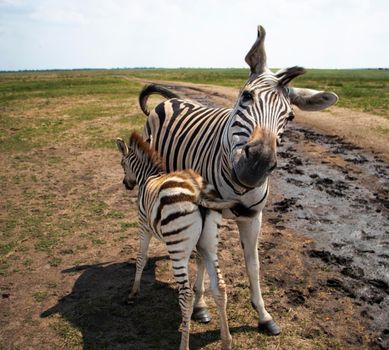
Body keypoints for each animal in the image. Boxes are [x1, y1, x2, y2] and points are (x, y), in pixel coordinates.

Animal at [116, 132, 250, 350]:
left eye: (122, 163)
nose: (126, 184)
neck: (148, 176)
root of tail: (198, 191)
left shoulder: (143, 225)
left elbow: (141, 258)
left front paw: (133, 293)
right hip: (209, 244)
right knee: (220, 287)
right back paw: (226, 340)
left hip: (177, 249)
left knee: (186, 295)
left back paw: (184, 344)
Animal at [136, 26, 336, 334]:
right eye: (246, 97)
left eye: (290, 116)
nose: (256, 166)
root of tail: (173, 99)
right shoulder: (207, 212)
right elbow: (202, 259)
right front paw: (200, 305)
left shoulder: (254, 217)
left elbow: (253, 265)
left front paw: (263, 314)